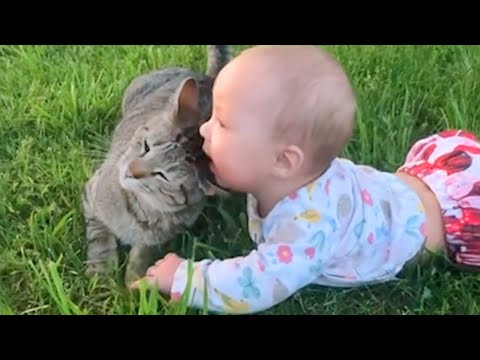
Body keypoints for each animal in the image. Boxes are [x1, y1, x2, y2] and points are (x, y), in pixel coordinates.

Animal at [81, 45, 232, 284]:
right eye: (145, 146)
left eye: (162, 175)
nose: (130, 171)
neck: (139, 209)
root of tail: (207, 79)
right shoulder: (92, 193)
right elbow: (99, 234)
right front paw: (101, 269)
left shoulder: (160, 236)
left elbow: (144, 251)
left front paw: (136, 276)